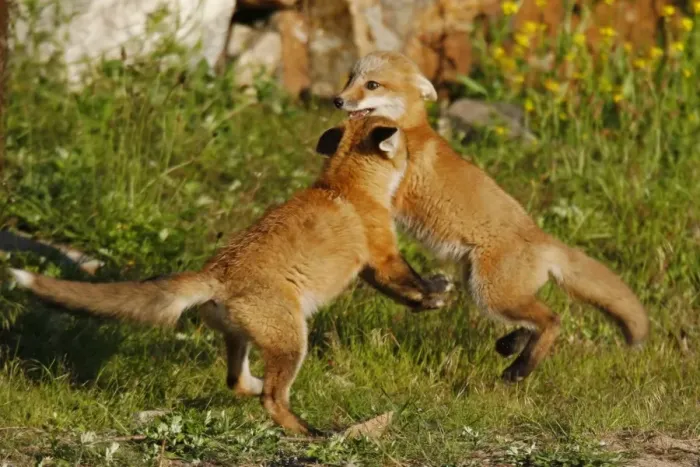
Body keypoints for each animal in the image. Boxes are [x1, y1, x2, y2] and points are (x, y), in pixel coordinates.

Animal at [7, 116, 453, 435]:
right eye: (407, 146)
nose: (425, 148)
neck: (347, 187)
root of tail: (215, 273)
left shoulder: (370, 268)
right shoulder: (381, 257)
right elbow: (409, 284)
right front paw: (434, 294)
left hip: (243, 339)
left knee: (237, 382)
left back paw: (254, 390)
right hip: (294, 341)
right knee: (272, 400)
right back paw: (308, 431)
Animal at [333, 51, 649, 382]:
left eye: (372, 84)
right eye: (350, 79)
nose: (337, 100)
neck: (408, 129)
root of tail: (541, 237)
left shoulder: (395, 187)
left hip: (491, 294)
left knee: (552, 319)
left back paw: (519, 369)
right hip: (487, 290)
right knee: (536, 320)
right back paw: (512, 346)